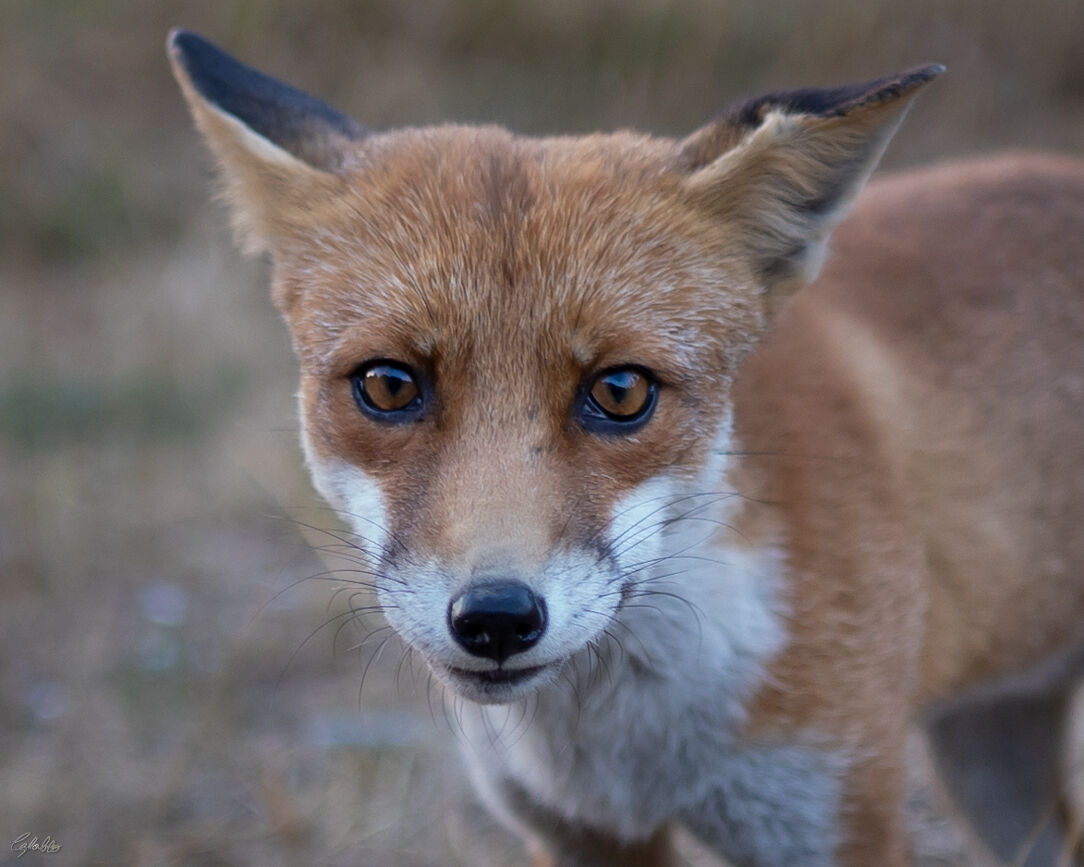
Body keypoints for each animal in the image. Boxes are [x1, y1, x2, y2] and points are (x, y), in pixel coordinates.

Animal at [168, 29, 1084, 867]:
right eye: (390, 385)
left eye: (620, 391)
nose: (495, 618)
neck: (625, 755)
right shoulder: (580, 830)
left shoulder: (830, 815)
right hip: (989, 765)